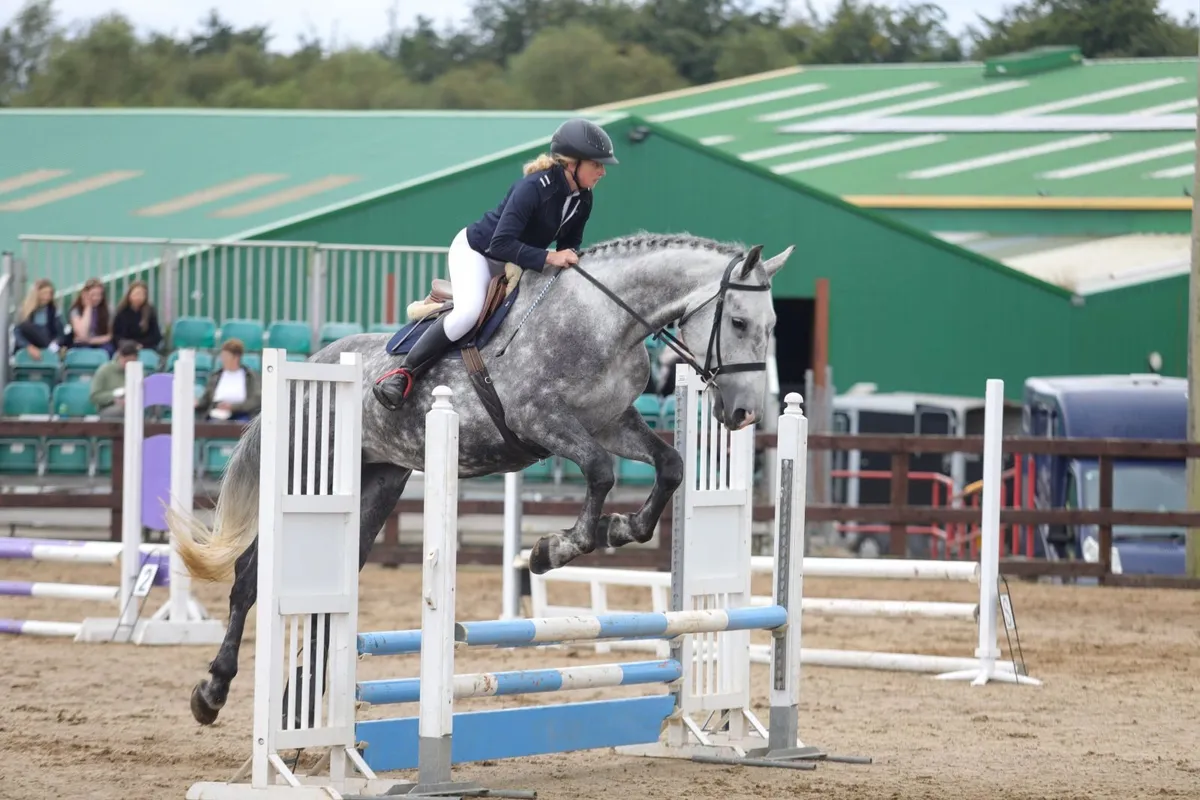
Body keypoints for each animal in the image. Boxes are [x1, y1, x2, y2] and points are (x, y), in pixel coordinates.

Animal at [167, 232, 792, 726]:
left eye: (773, 326)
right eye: (738, 321)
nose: (744, 415)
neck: (605, 322)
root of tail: (312, 365)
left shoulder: (612, 422)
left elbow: (670, 466)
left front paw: (619, 531)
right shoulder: (544, 422)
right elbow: (599, 471)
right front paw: (555, 548)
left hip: (378, 483)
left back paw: (294, 706)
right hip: (312, 468)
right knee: (251, 578)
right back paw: (211, 692)